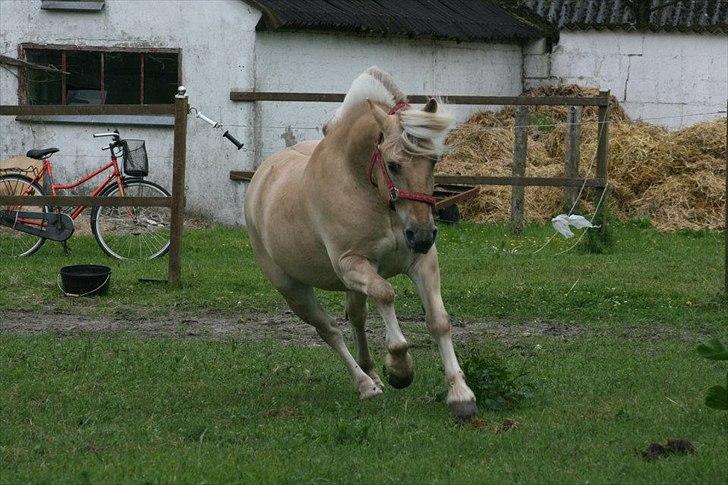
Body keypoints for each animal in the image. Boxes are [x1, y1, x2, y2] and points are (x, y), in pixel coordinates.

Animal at [246, 66, 478, 418]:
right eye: (393, 164)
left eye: (434, 160)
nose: (422, 234)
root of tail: (260, 179)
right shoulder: (352, 264)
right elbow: (386, 295)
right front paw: (399, 369)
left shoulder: (422, 261)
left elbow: (439, 322)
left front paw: (461, 395)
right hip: (293, 289)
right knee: (329, 330)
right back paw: (366, 385)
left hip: (350, 286)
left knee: (356, 317)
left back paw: (371, 373)